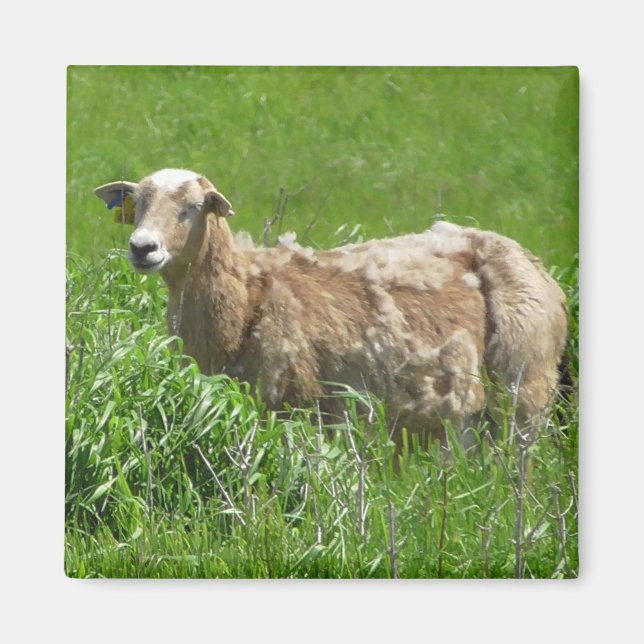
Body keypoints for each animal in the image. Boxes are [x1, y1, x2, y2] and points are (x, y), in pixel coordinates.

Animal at [94, 168, 568, 448]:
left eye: (192, 209)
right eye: (139, 204)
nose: (142, 248)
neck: (247, 301)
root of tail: (530, 260)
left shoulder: (306, 411)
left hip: (524, 389)